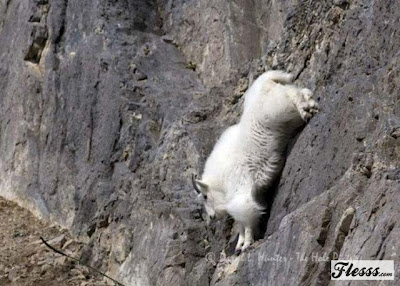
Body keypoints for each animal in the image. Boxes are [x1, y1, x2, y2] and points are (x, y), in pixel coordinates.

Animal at [191, 70, 318, 252]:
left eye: (206, 197)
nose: (212, 216)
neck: (221, 181)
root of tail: (266, 79)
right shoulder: (253, 191)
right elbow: (243, 222)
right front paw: (240, 244)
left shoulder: (241, 190)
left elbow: (246, 216)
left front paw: (246, 244)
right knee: (303, 91)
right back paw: (311, 105)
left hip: (278, 106)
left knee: (292, 94)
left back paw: (306, 110)